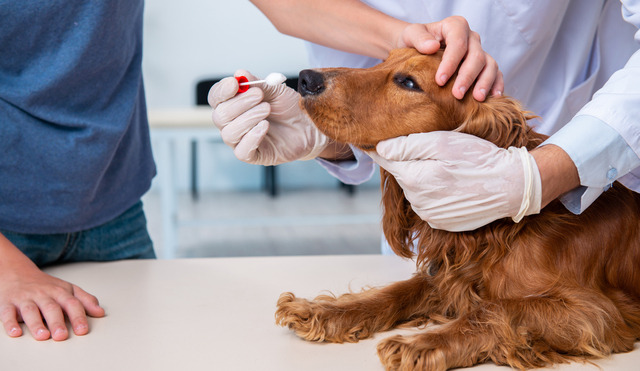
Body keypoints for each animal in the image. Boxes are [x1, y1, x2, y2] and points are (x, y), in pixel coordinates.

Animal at [276, 49, 640, 371]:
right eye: (384, 60)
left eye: (408, 82)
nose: (306, 79)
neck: (508, 229)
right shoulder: (452, 274)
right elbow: (397, 291)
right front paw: (324, 311)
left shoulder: (592, 312)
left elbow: (498, 310)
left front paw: (423, 344)